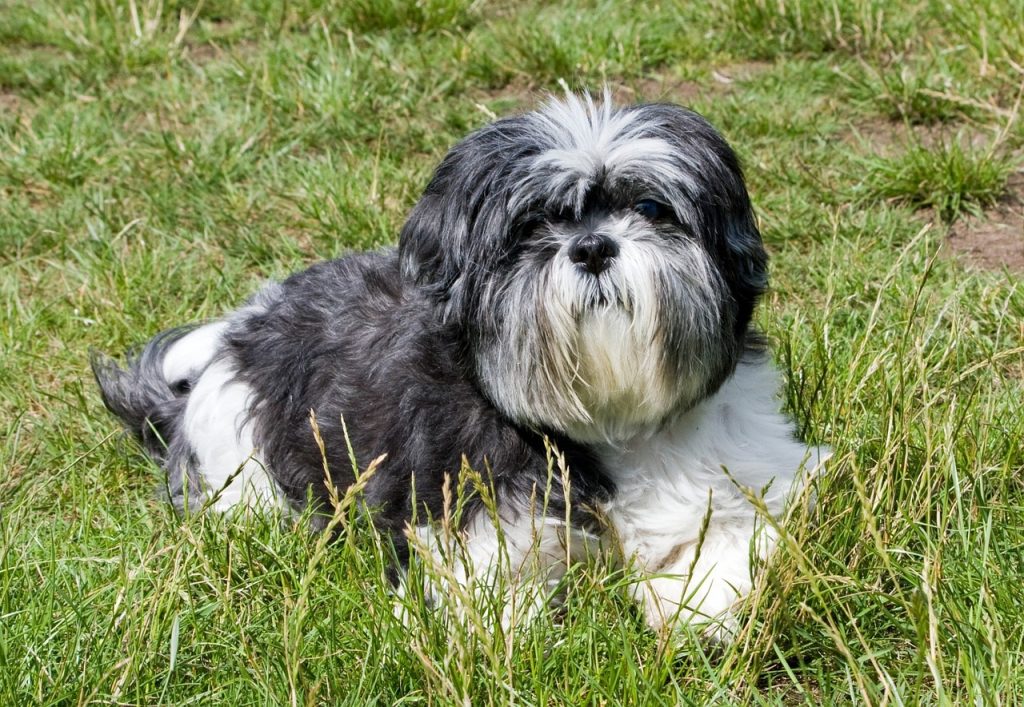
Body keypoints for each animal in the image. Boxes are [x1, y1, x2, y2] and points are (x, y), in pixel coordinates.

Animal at [94, 92, 831, 635]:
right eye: (531, 226)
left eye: (650, 207)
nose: (592, 246)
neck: (608, 419)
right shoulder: (472, 534)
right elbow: (498, 609)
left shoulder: (761, 474)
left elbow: (737, 545)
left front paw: (687, 606)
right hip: (248, 476)